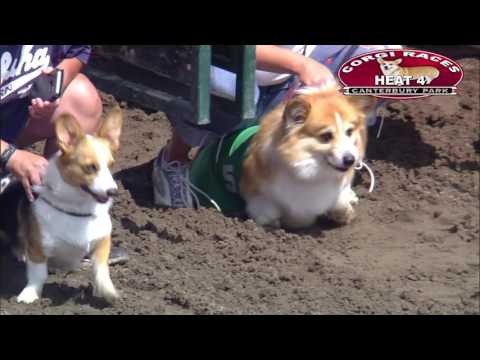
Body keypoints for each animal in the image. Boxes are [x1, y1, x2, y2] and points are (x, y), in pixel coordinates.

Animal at [12, 107, 123, 304]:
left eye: (111, 165)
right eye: (91, 167)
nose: (113, 191)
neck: (78, 208)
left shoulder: (103, 240)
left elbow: (101, 269)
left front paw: (109, 292)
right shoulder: (38, 248)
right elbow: (38, 275)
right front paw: (30, 294)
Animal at [240, 85, 376, 228]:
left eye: (349, 132)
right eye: (326, 136)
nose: (350, 160)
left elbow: (340, 199)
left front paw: (345, 213)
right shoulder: (258, 196)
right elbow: (270, 214)